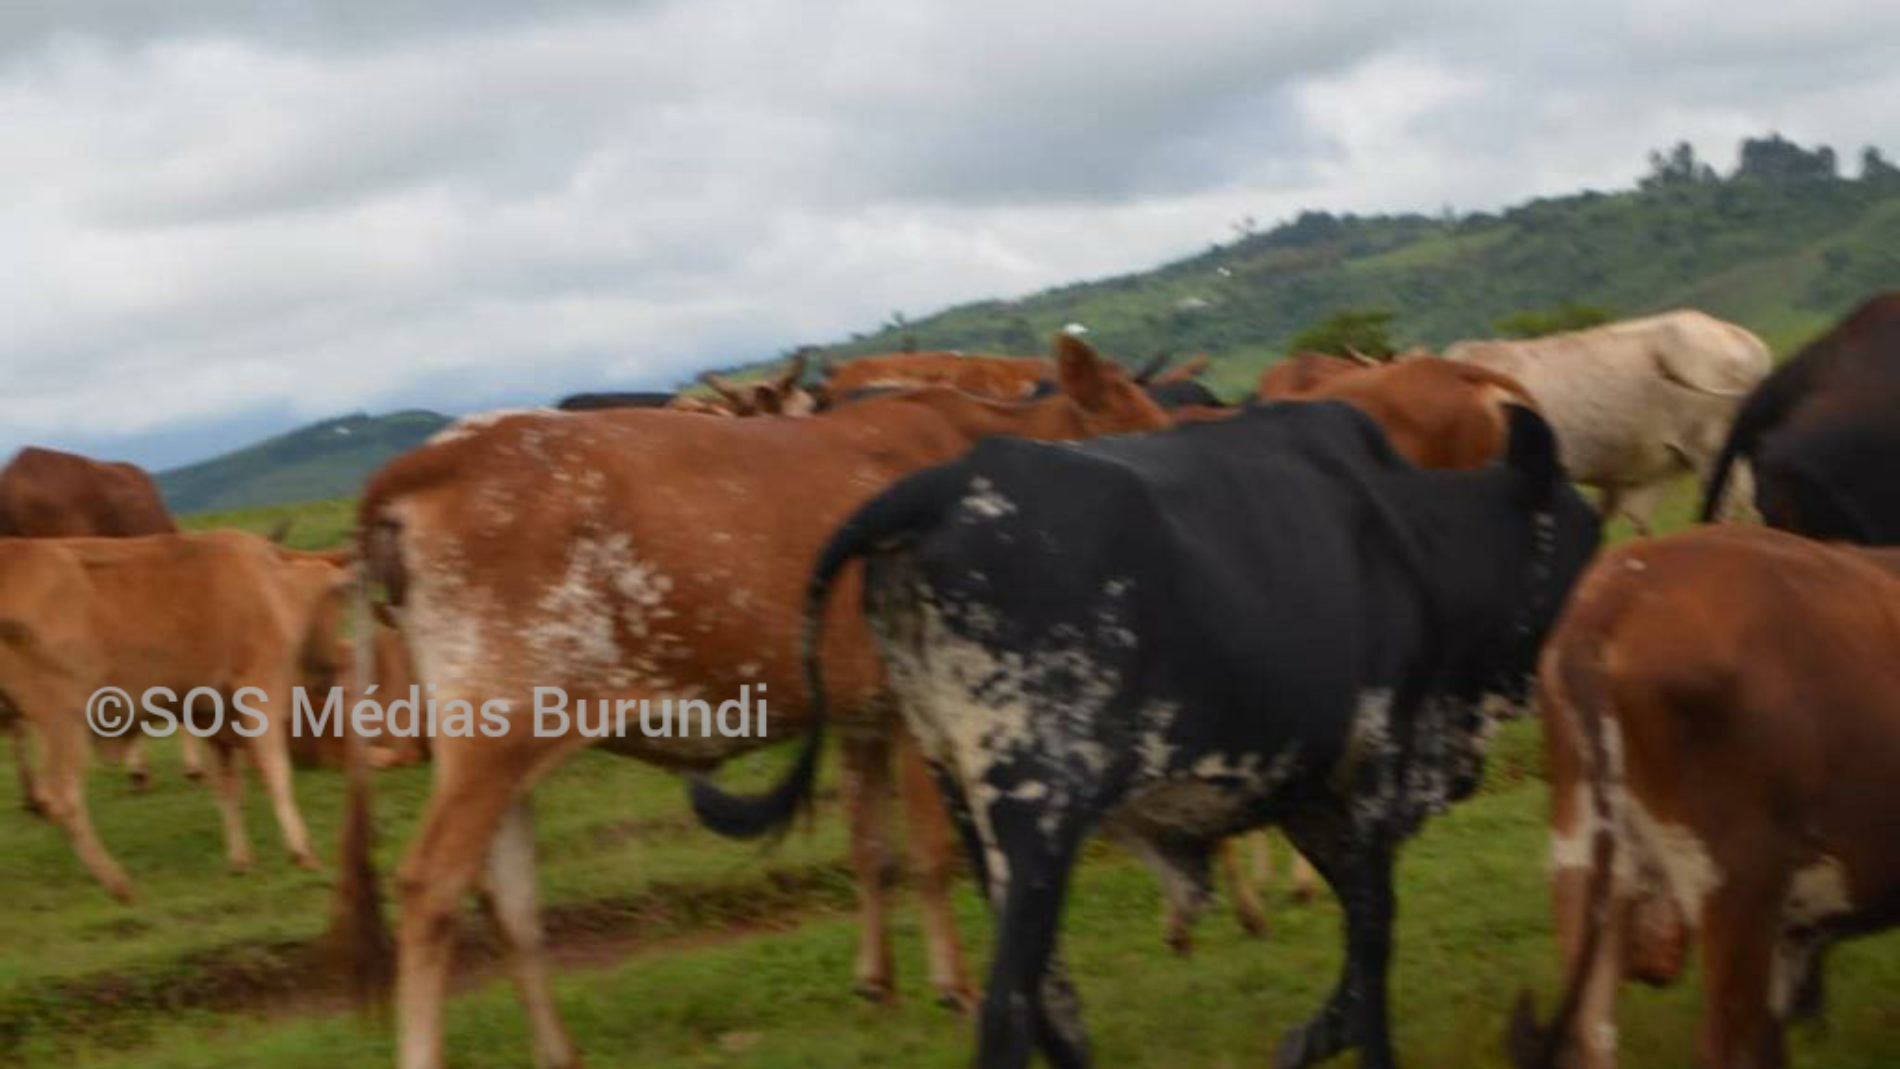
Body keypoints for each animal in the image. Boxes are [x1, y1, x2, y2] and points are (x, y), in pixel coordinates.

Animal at [0, 530, 350, 901]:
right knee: (62, 798)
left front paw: (240, 860)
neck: (271, 585)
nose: (333, 669)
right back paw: (118, 883)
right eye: (339, 600)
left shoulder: (212, 717)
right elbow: (277, 772)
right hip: (63, 718)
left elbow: (228, 786)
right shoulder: (259, 690)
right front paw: (302, 852)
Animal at [328, 336, 1171, 1069]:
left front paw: (879, 983)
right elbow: (935, 856)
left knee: (511, 906)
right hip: (497, 733)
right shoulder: (922, 708)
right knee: (431, 886)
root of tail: (430, 459)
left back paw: (560, 1053)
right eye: (1139, 430)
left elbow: (873, 847)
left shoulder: (866, 714)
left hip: (500, 753)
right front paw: (955, 988)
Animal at [692, 400, 1601, 1069]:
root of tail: (940, 488)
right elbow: (1374, 944)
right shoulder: (1376, 772)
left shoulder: (1311, 792)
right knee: (1011, 1012)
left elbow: (1357, 941)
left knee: (1052, 1007)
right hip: (1039, 811)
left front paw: (1308, 1037)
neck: (1413, 540)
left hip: (965, 795)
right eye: (1587, 536)